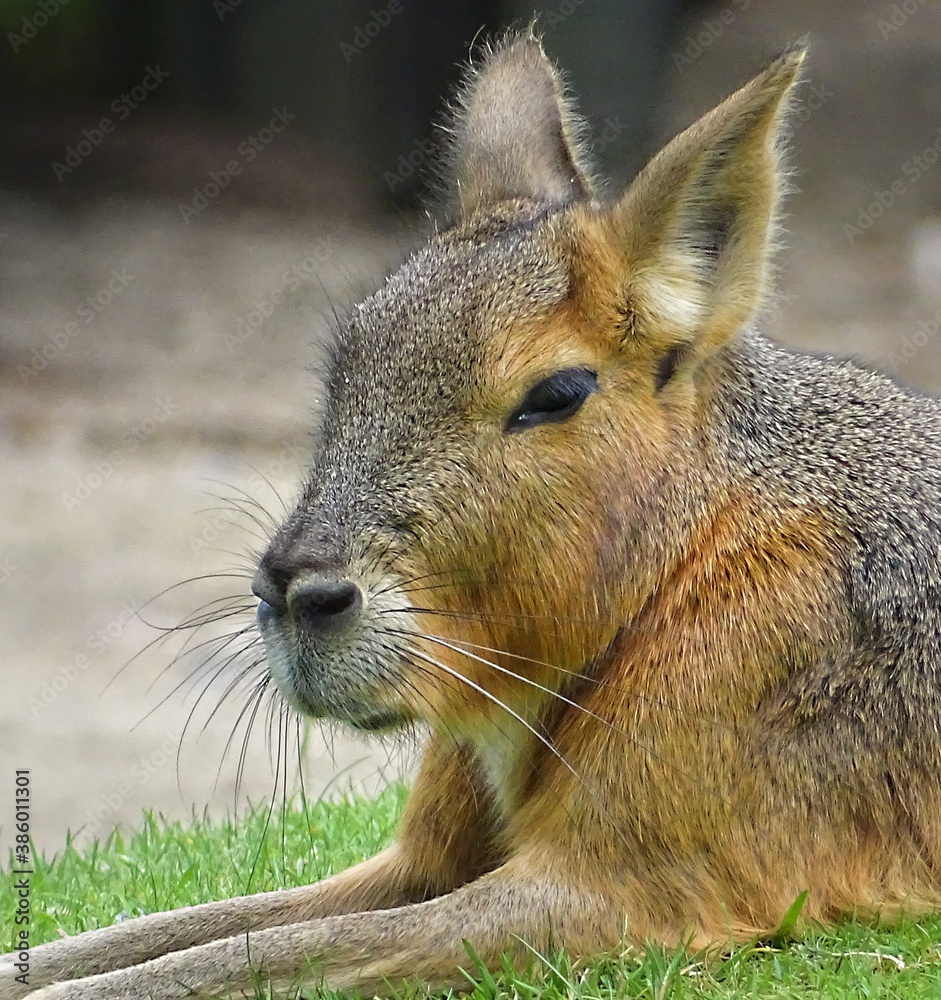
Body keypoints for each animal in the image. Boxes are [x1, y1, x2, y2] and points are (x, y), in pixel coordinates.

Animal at [6, 31, 941, 1000]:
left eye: (556, 394)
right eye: (345, 367)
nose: (299, 598)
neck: (676, 571)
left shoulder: (617, 891)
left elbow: (239, 958)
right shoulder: (418, 861)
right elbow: (184, 931)